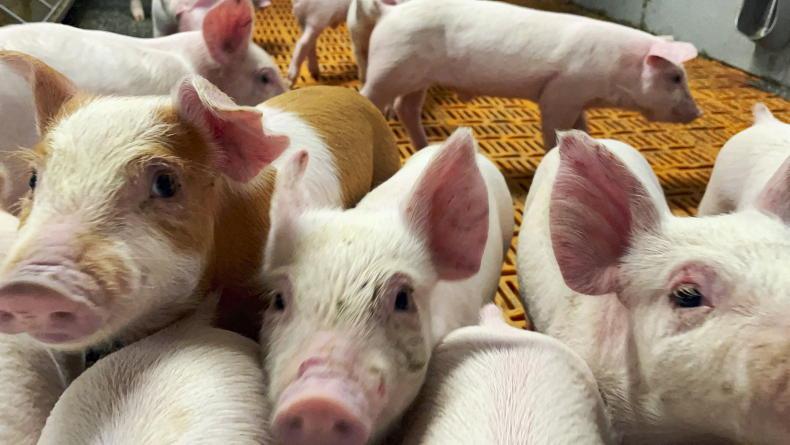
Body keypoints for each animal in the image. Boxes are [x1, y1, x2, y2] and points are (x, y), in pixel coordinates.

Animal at [360, 0, 702, 150]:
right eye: (675, 78)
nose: (697, 112)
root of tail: (390, 12)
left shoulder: (577, 99)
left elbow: (582, 127)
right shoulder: (561, 92)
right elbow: (554, 129)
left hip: (417, 77)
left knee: (407, 108)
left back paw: (426, 148)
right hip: (390, 65)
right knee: (368, 96)